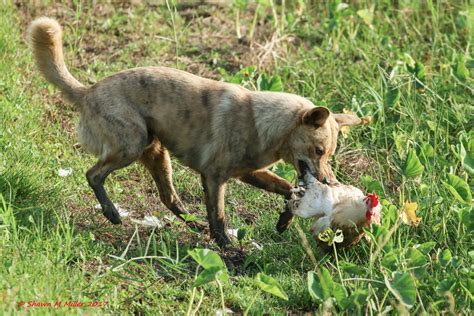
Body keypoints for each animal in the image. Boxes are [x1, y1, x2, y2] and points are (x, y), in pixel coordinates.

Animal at [27, 17, 362, 247]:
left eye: (328, 155)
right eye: (319, 151)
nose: (329, 182)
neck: (263, 123)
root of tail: (88, 91)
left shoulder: (249, 173)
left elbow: (288, 189)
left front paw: (283, 221)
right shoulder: (214, 177)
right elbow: (220, 214)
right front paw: (226, 246)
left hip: (157, 154)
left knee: (168, 198)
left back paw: (192, 225)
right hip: (130, 145)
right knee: (93, 174)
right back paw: (111, 213)